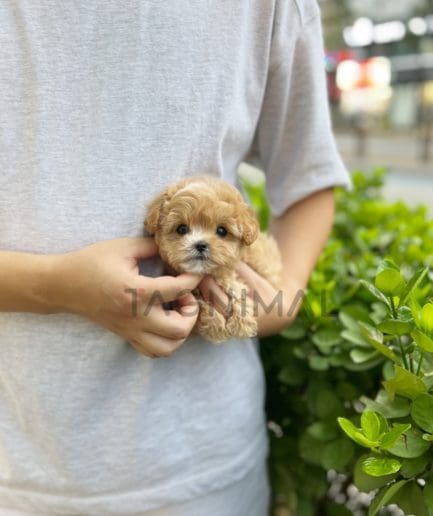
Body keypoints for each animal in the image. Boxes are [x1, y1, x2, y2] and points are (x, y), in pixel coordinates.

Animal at [143, 176, 282, 342]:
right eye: (181, 229)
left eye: (222, 231)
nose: (200, 245)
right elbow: (201, 303)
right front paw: (216, 327)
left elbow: (235, 287)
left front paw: (242, 323)